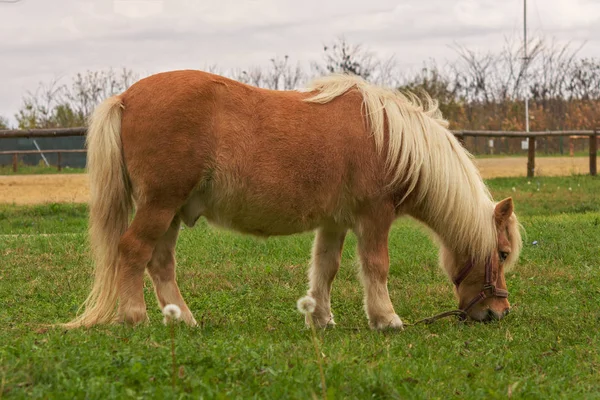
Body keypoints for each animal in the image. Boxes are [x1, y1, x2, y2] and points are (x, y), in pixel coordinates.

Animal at [64, 70, 520, 330]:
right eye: (501, 252)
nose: (498, 313)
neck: (391, 139)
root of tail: (126, 98)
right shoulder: (374, 217)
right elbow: (376, 266)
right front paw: (386, 319)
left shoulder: (335, 222)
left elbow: (326, 268)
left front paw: (320, 318)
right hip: (159, 205)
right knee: (131, 250)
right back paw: (135, 317)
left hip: (171, 210)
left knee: (160, 263)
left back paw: (185, 320)